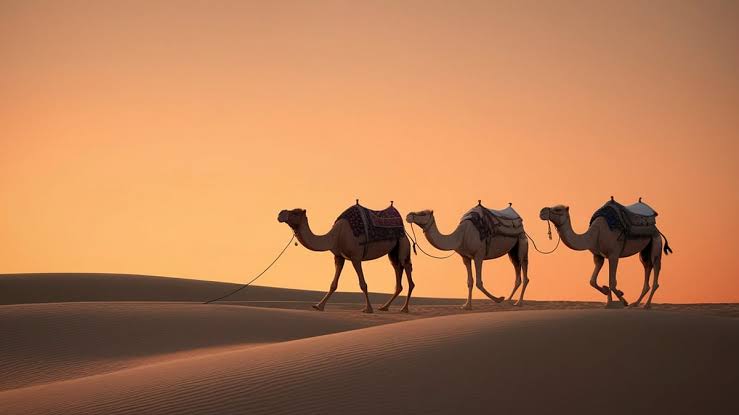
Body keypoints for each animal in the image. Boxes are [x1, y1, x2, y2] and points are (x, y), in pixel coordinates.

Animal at [277, 208, 414, 313]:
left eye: (295, 213)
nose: (280, 213)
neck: (337, 235)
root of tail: (405, 232)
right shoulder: (339, 257)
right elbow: (333, 284)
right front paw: (319, 306)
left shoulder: (356, 257)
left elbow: (363, 284)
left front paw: (368, 309)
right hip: (393, 252)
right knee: (397, 270)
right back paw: (384, 307)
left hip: (403, 244)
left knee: (406, 266)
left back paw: (404, 309)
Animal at [539, 204, 671, 309]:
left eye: (558, 209)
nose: (542, 211)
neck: (594, 234)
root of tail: (656, 229)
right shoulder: (598, 256)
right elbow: (592, 281)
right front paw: (608, 299)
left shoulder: (614, 254)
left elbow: (612, 282)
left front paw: (622, 300)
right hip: (645, 250)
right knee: (647, 266)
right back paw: (636, 303)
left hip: (656, 241)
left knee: (655, 265)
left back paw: (646, 305)